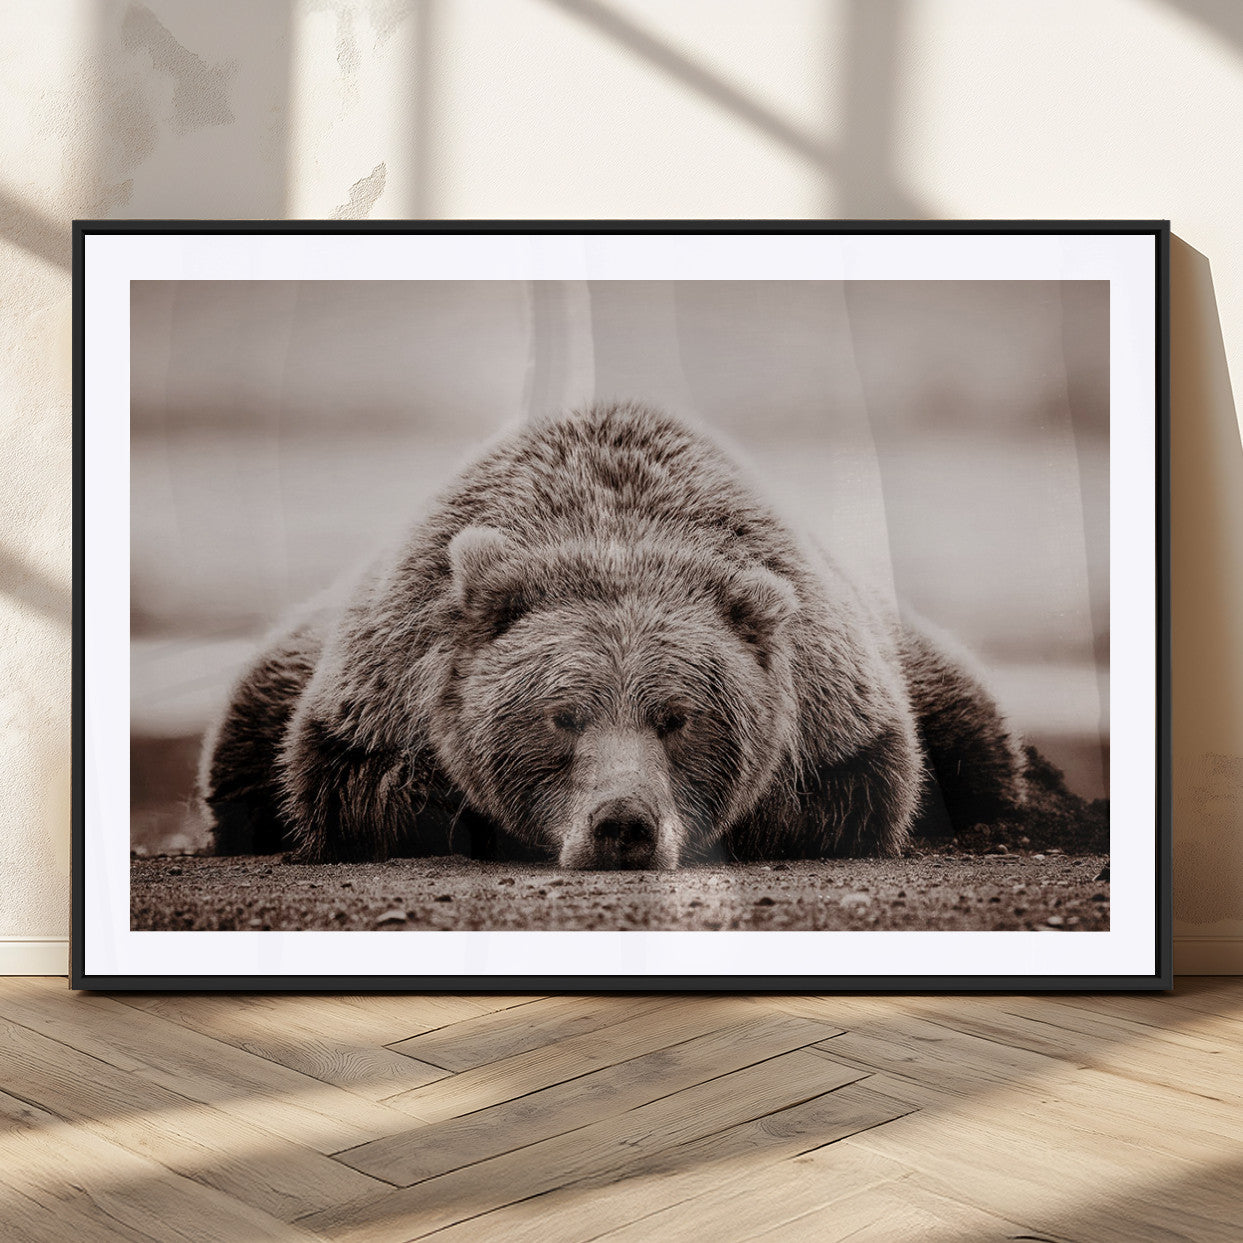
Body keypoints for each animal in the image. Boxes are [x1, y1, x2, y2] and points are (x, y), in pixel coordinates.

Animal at [199, 401, 1025, 869]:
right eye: (561, 715)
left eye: (678, 717)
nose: (622, 824)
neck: (613, 526)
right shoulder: (379, 688)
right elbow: (361, 786)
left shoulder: (837, 705)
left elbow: (851, 791)